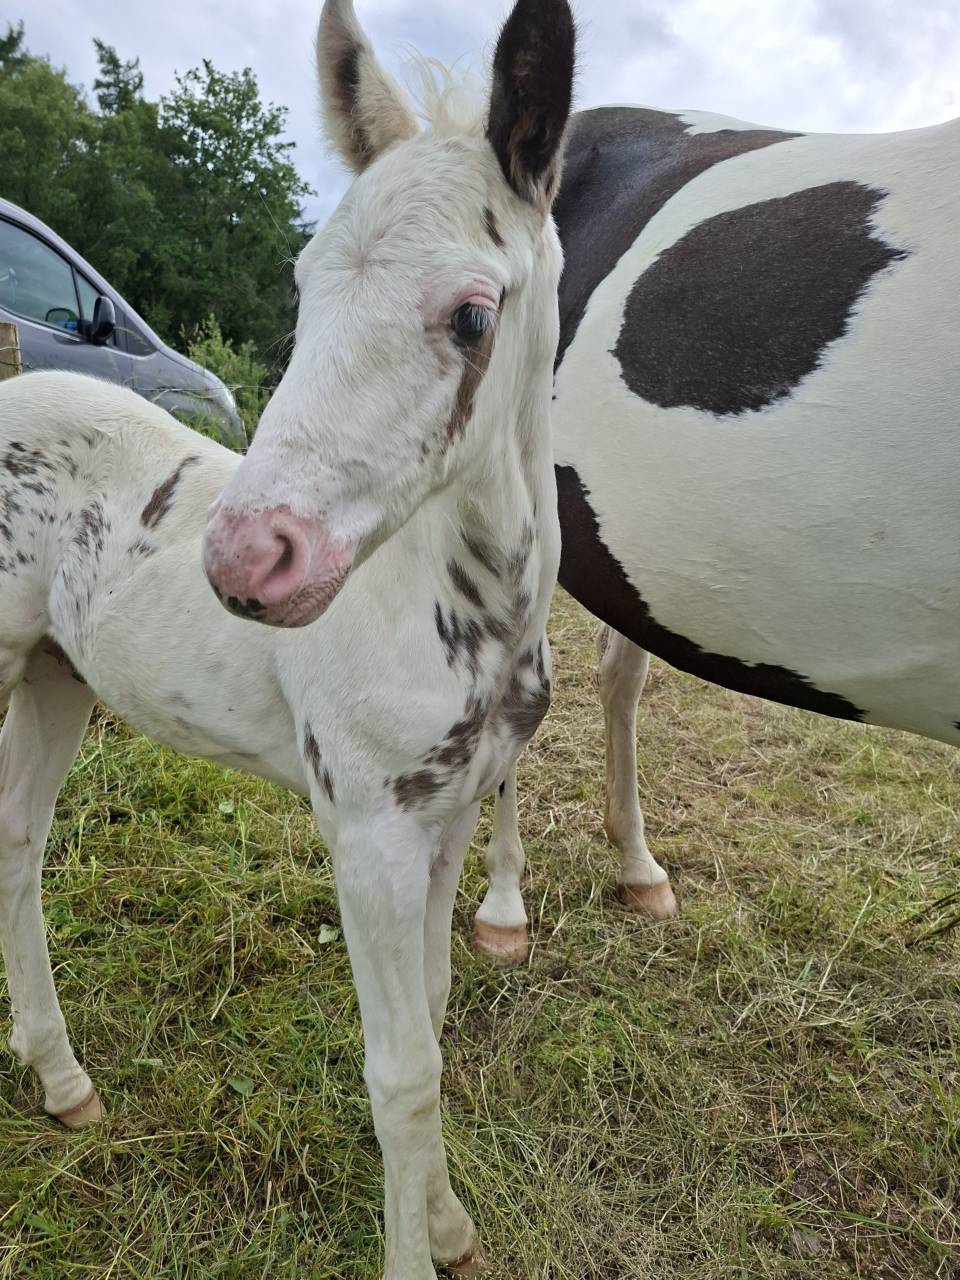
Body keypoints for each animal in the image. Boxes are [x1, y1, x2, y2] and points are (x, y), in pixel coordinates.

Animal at [0, 1, 575, 1275]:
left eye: (472, 314)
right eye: (306, 283)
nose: (243, 559)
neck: (458, 604)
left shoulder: (447, 814)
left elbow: (440, 1006)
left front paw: (449, 1220)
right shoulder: (365, 829)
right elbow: (401, 1071)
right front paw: (419, 1246)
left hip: (54, 678)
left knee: (15, 844)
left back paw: (63, 1079)